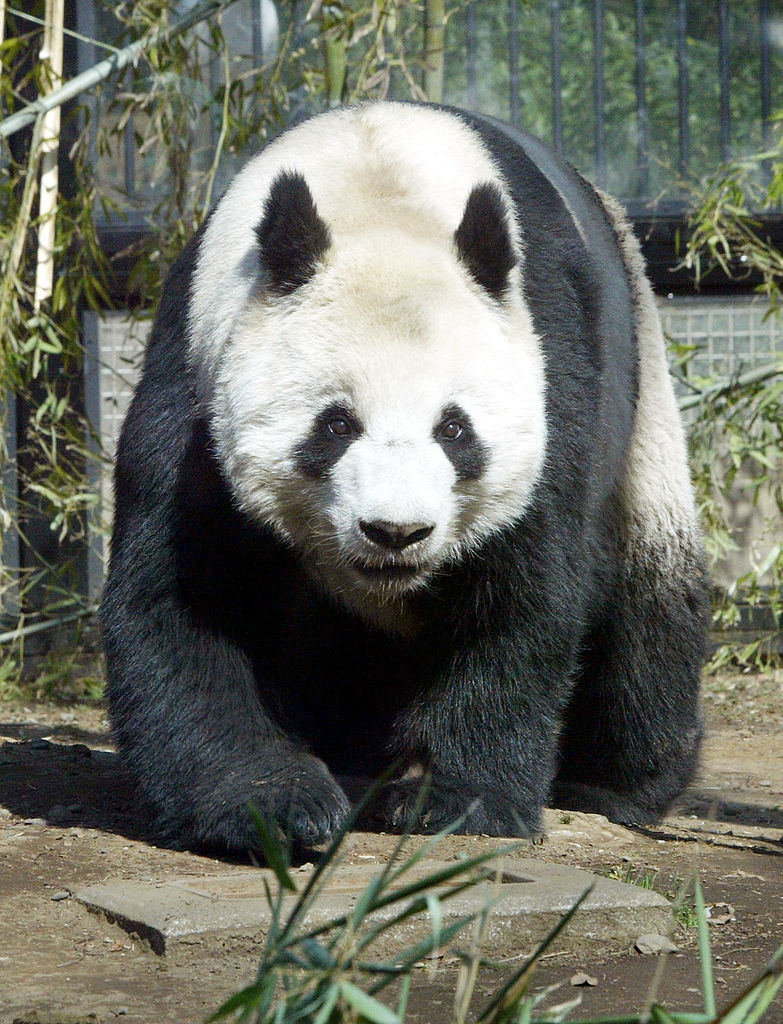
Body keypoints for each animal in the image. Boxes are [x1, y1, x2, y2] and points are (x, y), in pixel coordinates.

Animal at [101, 102, 706, 851]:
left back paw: (617, 784)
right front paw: (269, 804)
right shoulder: (195, 371)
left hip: (642, 399)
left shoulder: (549, 366)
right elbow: (188, 597)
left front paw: (454, 799)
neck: (378, 190)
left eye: (454, 429)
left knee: (649, 604)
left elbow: (519, 595)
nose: (395, 532)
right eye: (336, 426)